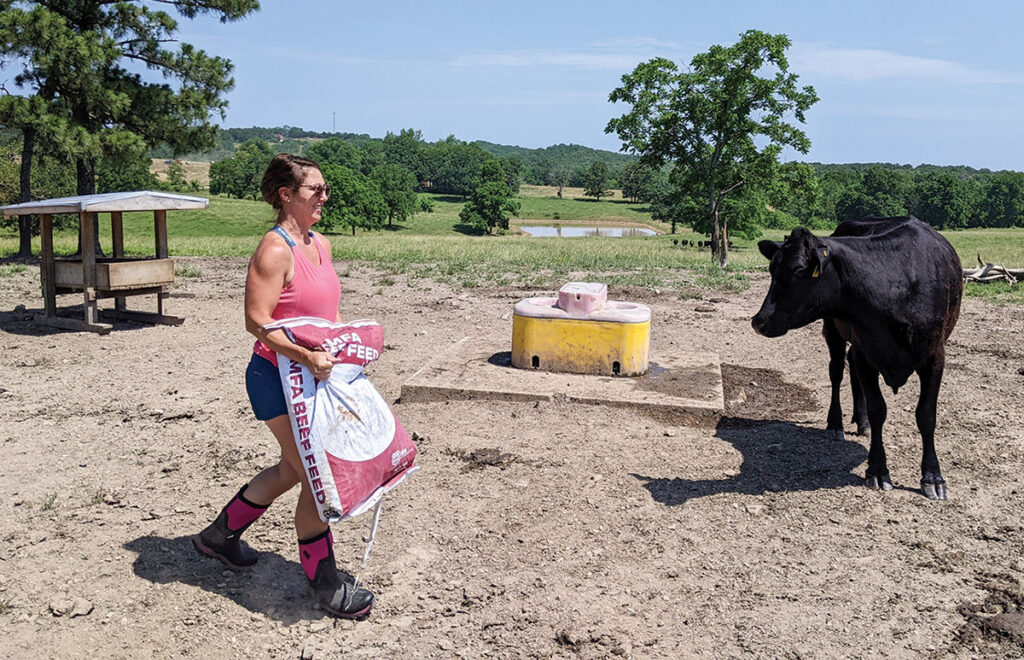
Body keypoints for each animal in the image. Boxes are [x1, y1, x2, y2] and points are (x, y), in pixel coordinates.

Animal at [753, 215, 958, 499]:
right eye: (772, 270)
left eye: (798, 270)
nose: (759, 321)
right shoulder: (865, 351)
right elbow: (878, 409)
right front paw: (878, 470)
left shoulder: (935, 356)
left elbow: (926, 415)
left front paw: (933, 477)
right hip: (833, 328)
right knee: (837, 371)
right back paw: (836, 423)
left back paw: (861, 422)